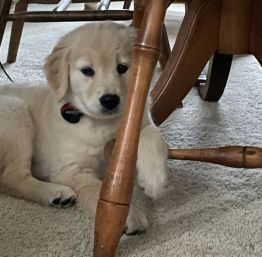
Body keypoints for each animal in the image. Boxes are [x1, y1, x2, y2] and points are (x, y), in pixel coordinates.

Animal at [0, 21, 168, 234]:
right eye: (87, 70)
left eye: (122, 68)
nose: (110, 100)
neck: (100, 123)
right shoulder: (72, 169)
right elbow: (98, 190)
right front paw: (127, 217)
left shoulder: (139, 120)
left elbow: (152, 134)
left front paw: (154, 178)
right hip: (14, 110)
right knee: (12, 177)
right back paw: (55, 192)